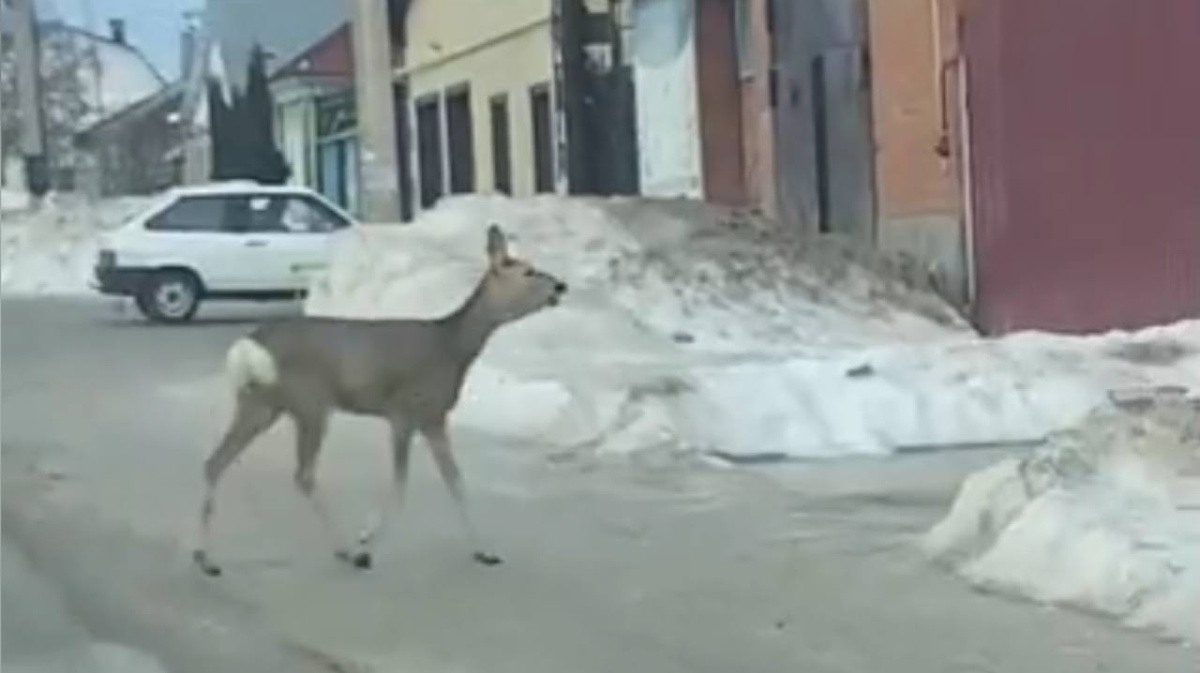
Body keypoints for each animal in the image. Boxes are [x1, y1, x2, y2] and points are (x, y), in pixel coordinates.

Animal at [194, 223, 568, 575]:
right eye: (527, 270)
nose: (561, 286)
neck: (451, 348)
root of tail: (246, 348)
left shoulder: (434, 417)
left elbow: (457, 483)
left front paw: (485, 551)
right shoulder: (403, 412)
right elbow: (401, 487)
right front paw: (366, 543)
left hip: (261, 403)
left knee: (215, 462)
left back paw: (205, 558)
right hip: (310, 404)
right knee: (302, 474)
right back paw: (346, 550)